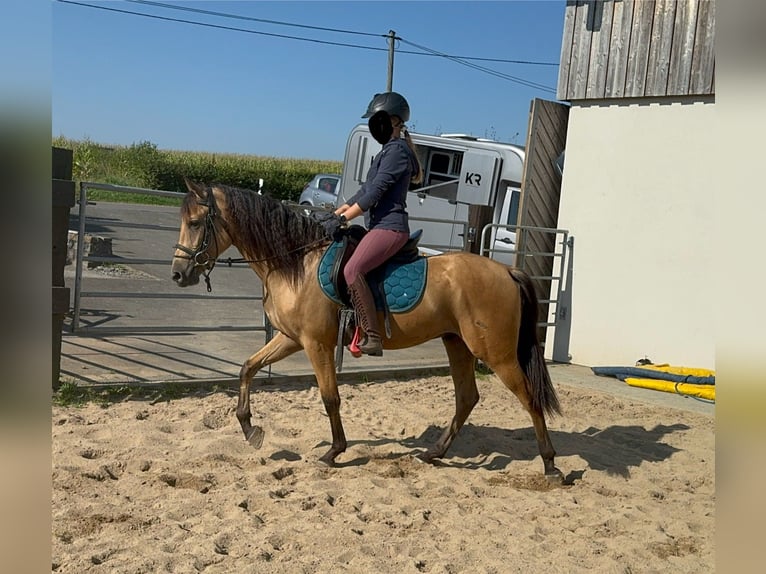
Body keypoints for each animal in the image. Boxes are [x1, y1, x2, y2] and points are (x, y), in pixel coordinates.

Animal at [170, 180, 564, 482]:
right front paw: (249, 428)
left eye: (195, 222)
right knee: (467, 398)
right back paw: (433, 453)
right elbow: (247, 368)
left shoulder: (316, 344)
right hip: (458, 345)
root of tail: (507, 271)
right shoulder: (291, 339)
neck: (297, 262)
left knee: (528, 398)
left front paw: (334, 451)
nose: (178, 274)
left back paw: (550, 464)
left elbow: (330, 397)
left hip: (495, 353)